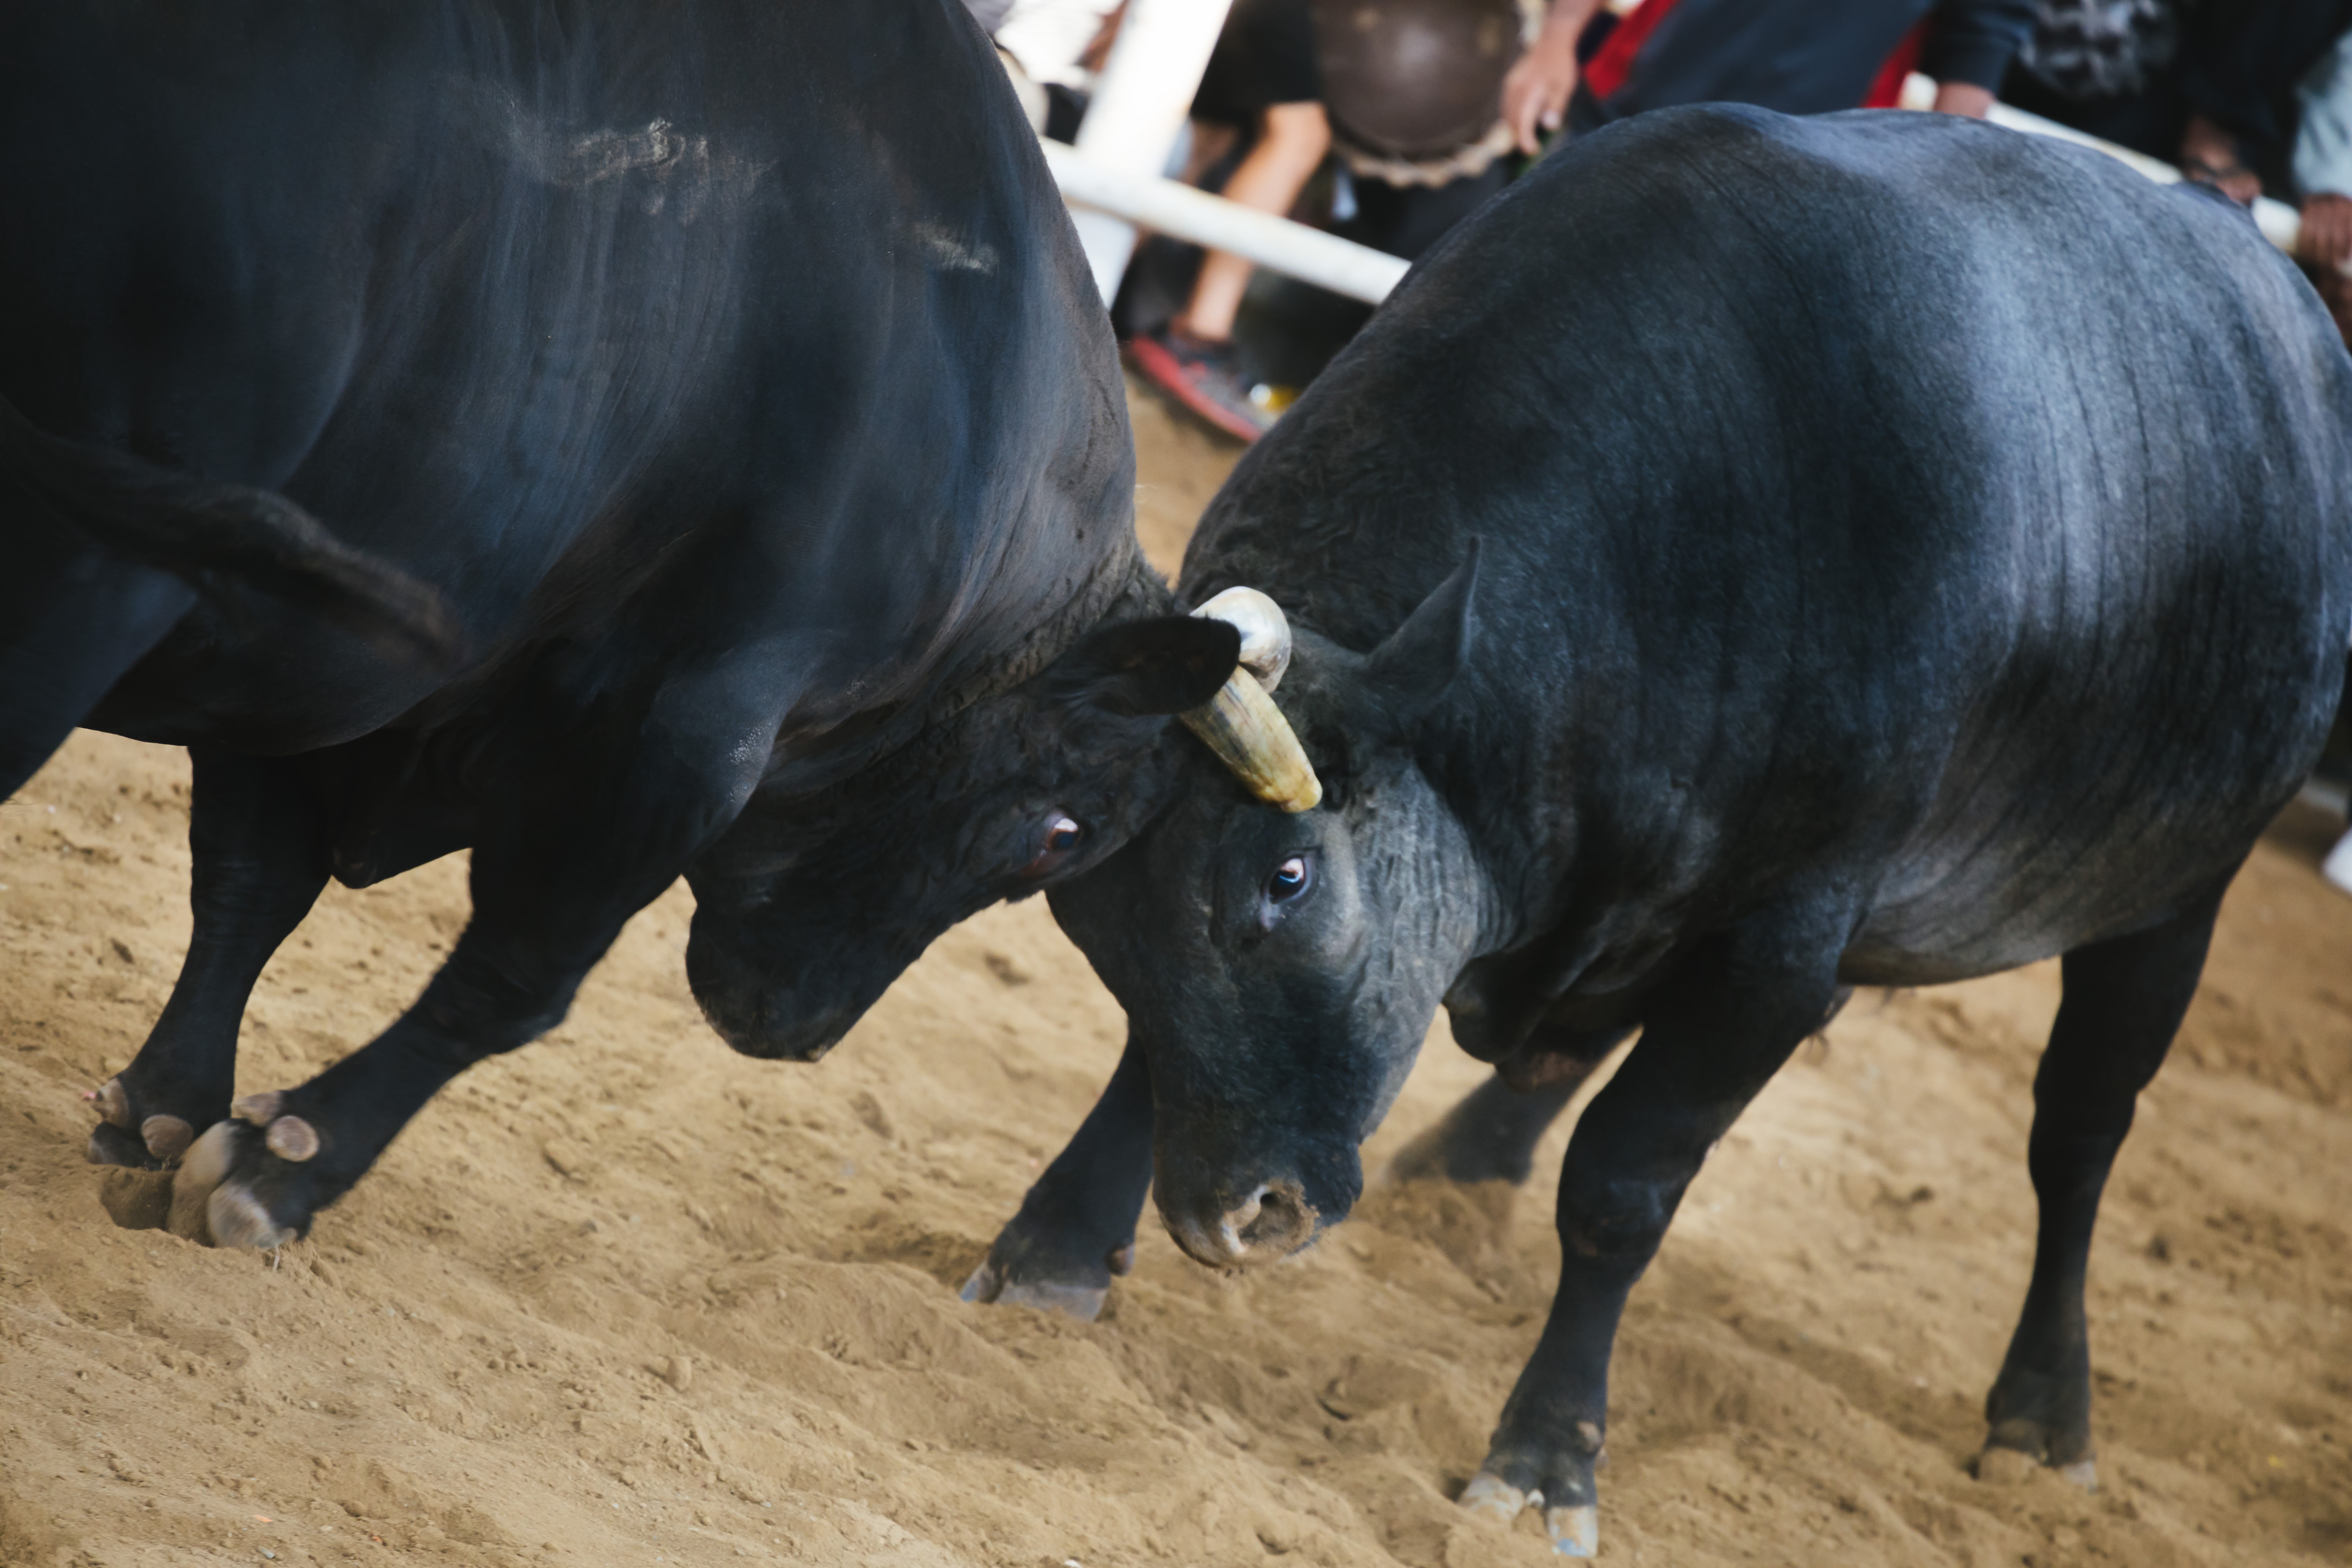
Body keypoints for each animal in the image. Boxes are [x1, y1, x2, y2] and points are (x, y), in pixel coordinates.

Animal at [0, 0, 1242, 1251]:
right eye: (1061, 836)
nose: (801, 1032)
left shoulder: (327, 656)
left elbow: (251, 874)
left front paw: (167, 1112)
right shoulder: (686, 728)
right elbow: (515, 976)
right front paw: (283, 1166)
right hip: (98, 566)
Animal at [969, 110, 2352, 1561]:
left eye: (1287, 879)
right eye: (1089, 918)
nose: (1239, 1215)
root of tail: (2279, 304)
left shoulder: (1774, 950)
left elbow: (1621, 1188)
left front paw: (1543, 1459)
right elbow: (1155, 1047)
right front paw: (1057, 1248)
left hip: (2170, 900)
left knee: (2076, 1138)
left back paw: (2042, 1411)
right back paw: (1458, 1167)